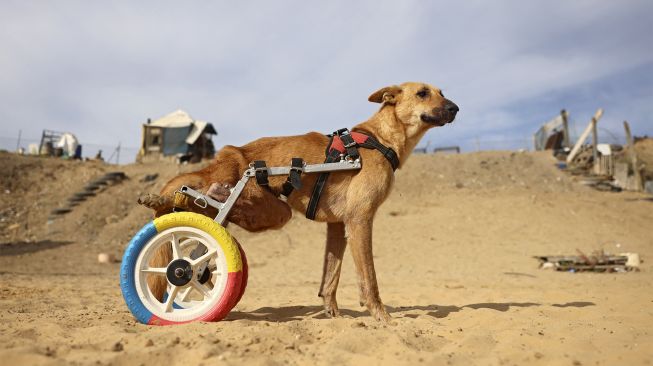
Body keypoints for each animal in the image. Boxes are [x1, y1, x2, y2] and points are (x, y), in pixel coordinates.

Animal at [141, 82, 458, 320]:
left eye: (441, 91)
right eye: (422, 93)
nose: (455, 108)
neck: (379, 140)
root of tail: (227, 155)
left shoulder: (337, 226)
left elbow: (330, 277)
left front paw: (334, 314)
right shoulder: (360, 220)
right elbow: (369, 278)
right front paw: (381, 316)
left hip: (250, 211)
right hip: (273, 210)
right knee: (197, 203)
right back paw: (171, 197)